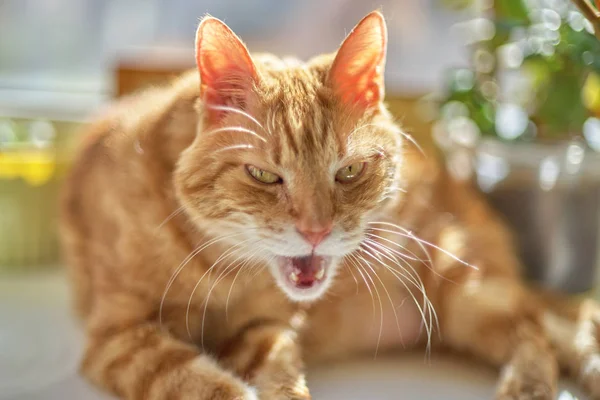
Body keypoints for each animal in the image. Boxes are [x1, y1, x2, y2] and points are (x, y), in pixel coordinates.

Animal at [62, 10, 600, 398]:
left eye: (348, 172)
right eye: (264, 175)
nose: (316, 231)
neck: (217, 266)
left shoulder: (267, 327)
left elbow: (281, 373)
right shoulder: (120, 338)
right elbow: (202, 381)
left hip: (464, 288)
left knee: (539, 328)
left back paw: (532, 385)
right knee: (552, 325)